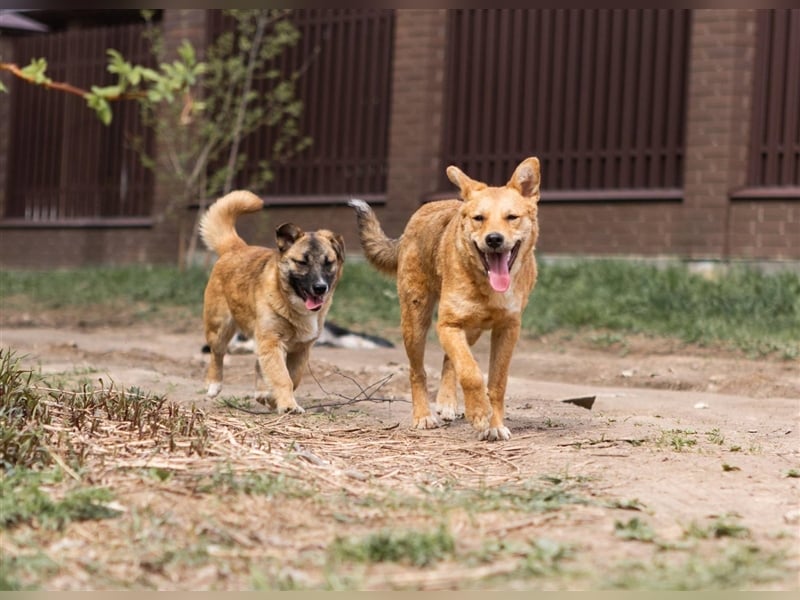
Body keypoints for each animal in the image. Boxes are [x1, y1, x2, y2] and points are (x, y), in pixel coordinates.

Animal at [200, 191, 344, 412]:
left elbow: (292, 378)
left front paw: (274, 399)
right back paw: (214, 384)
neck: (292, 302)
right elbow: (283, 378)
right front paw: (288, 405)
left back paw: (262, 393)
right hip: (219, 327)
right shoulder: (271, 341)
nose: (320, 288)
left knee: (258, 364)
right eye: (302, 262)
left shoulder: (300, 350)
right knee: (217, 355)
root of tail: (236, 247)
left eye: (329, 263)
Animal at [346, 157, 540, 440]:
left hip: (471, 330)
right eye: (479, 218)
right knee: (418, 371)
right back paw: (423, 416)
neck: (487, 286)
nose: (494, 239)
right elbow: (471, 373)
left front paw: (494, 424)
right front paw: (479, 413)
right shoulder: (448, 325)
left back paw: (447, 403)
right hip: (416, 323)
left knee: (450, 361)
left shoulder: (507, 330)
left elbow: (496, 382)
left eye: (511, 217)